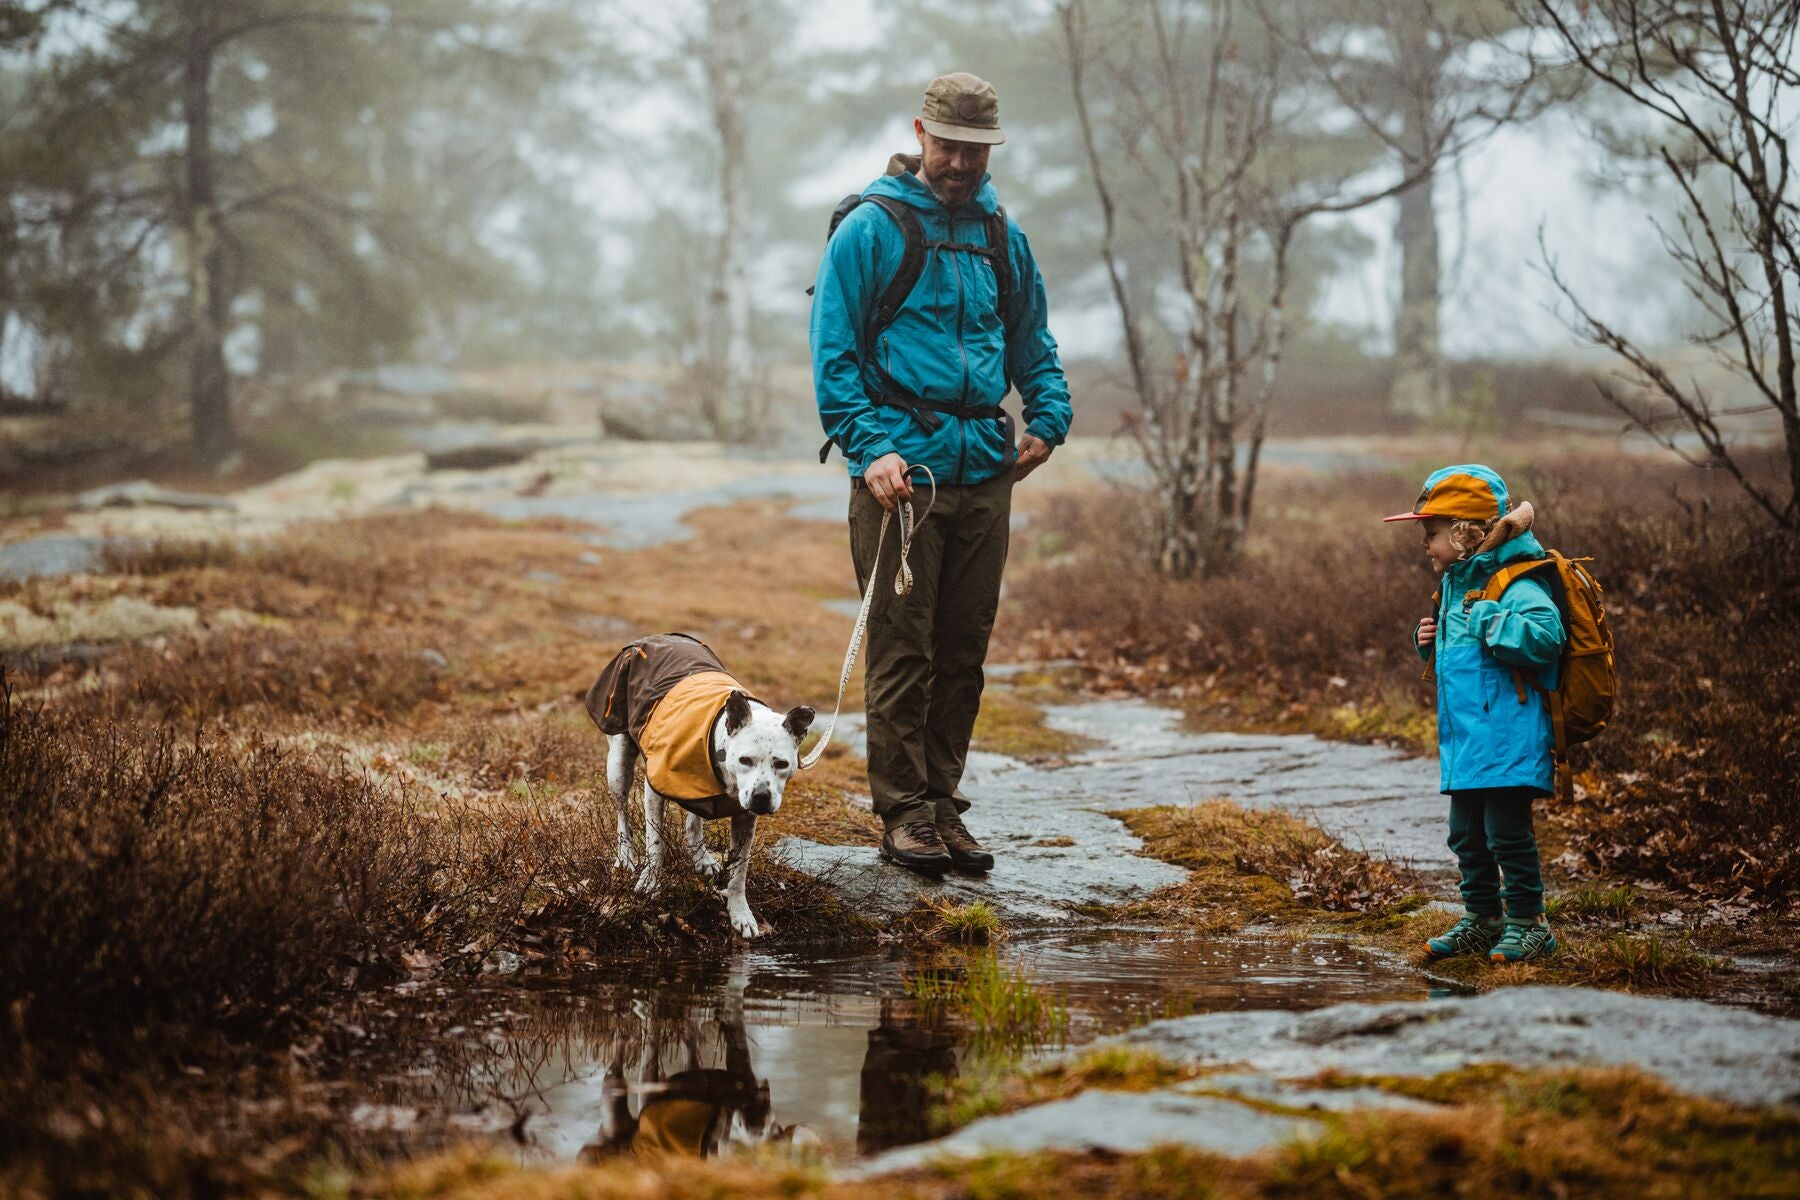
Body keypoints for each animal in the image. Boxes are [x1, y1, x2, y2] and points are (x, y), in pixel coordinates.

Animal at [583, 633, 817, 942]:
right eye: (745, 760)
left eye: (781, 763)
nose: (761, 797)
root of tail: (658, 636)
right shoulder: (654, 790)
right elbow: (655, 845)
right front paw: (650, 883)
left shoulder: (745, 816)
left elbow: (739, 871)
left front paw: (740, 913)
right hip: (619, 758)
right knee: (622, 813)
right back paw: (626, 856)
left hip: (696, 788)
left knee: (693, 821)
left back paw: (702, 858)